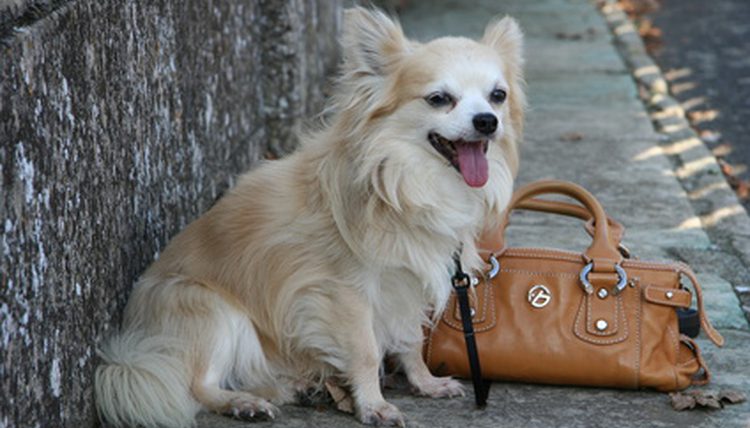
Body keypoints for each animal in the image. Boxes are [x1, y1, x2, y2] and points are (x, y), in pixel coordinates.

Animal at [95, 7, 524, 428]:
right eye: (439, 99)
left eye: (497, 96)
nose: (487, 120)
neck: (406, 183)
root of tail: (134, 342)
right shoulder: (344, 292)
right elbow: (366, 350)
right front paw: (373, 405)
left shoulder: (405, 283)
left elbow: (410, 340)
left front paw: (424, 382)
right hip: (210, 309)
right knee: (198, 386)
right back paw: (242, 403)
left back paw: (296, 387)